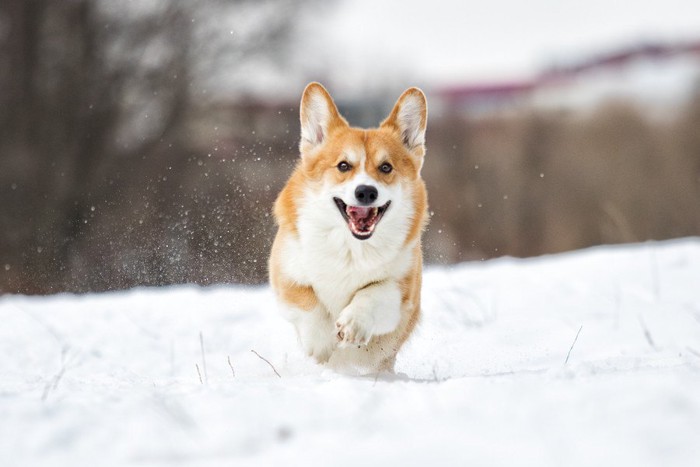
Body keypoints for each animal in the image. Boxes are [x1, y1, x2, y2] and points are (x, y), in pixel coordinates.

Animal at [270, 83, 430, 376]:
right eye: (343, 165)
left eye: (386, 167)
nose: (366, 192)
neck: (351, 246)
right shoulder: (286, 277)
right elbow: (308, 303)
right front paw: (321, 344)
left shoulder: (402, 293)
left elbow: (373, 293)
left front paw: (353, 324)